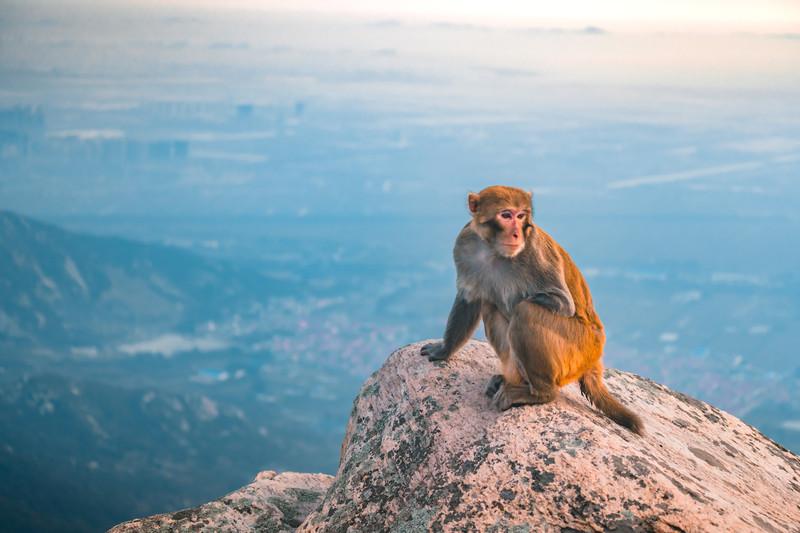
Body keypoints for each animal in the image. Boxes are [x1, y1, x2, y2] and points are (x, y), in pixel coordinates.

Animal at [421, 185, 644, 435]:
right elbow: (469, 299)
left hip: (579, 349)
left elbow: (561, 302)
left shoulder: (535, 250)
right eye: (506, 215)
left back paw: (540, 393)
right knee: (494, 312)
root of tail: (595, 356)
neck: (492, 248)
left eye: (521, 216)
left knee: (524, 311)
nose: (517, 233)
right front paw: (443, 350)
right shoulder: (465, 244)